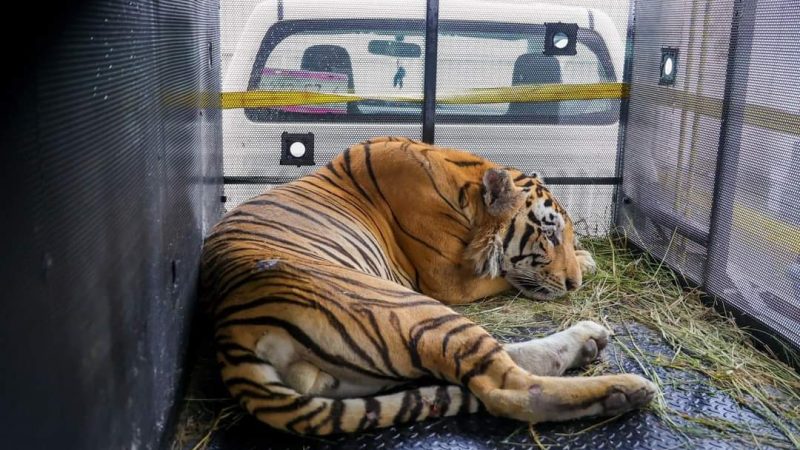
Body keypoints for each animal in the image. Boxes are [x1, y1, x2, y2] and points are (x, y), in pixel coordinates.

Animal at [200, 136, 657, 435]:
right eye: (549, 233)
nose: (573, 283)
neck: (466, 189)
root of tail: (229, 333)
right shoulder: (448, 280)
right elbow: (506, 276)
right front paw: (587, 262)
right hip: (405, 304)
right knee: (508, 389)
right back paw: (625, 390)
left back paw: (589, 340)